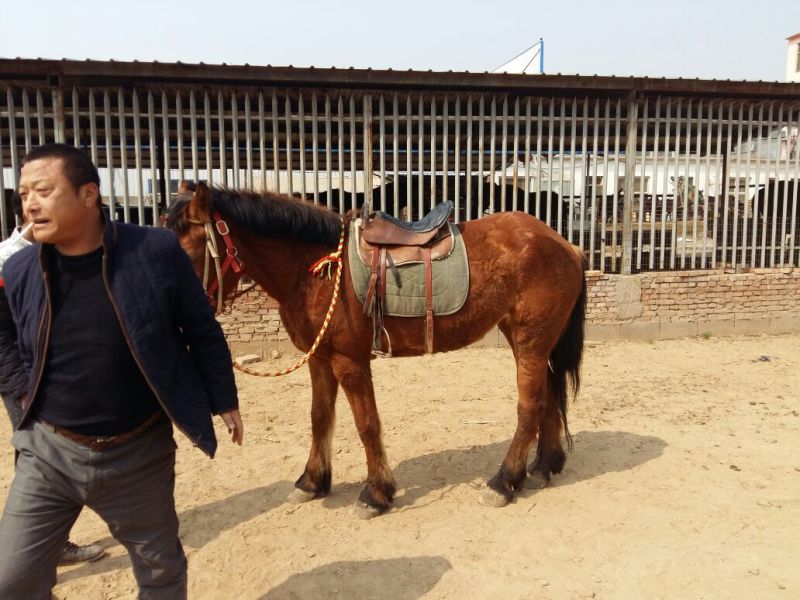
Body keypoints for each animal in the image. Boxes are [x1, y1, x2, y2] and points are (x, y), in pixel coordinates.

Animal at [165, 182, 587, 518]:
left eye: (186, 251)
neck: (313, 270)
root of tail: (564, 243)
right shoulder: (319, 361)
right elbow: (320, 417)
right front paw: (312, 481)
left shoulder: (349, 362)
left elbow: (367, 425)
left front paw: (376, 493)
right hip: (527, 340)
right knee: (548, 397)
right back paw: (545, 465)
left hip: (531, 342)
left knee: (529, 406)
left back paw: (504, 481)